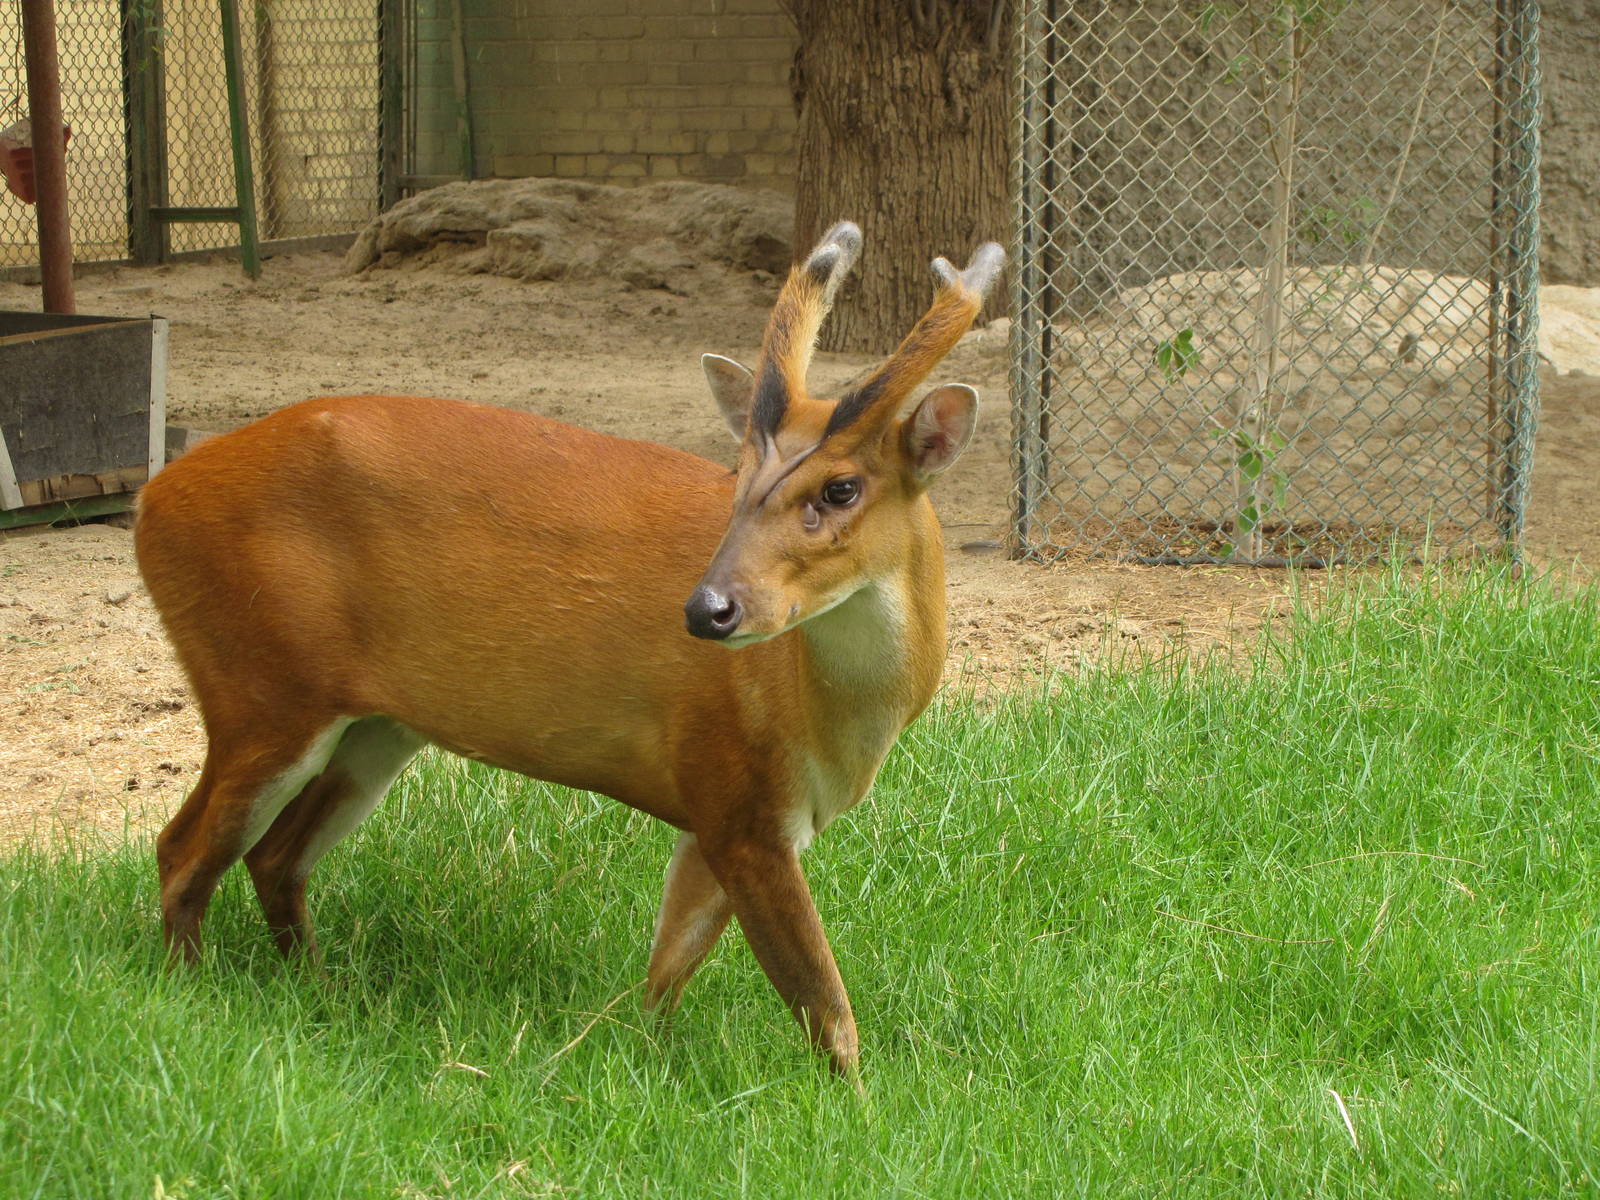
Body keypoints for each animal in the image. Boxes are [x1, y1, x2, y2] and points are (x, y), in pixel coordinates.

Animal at [133, 221, 1005, 1078]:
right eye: (740, 476)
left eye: (841, 488)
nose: (708, 609)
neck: (825, 718)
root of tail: (153, 501)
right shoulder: (736, 795)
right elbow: (826, 1008)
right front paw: (855, 1104)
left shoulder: (718, 812)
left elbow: (666, 975)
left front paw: (641, 1067)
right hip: (261, 683)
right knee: (181, 848)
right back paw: (191, 998)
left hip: (373, 726)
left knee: (276, 858)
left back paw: (318, 995)